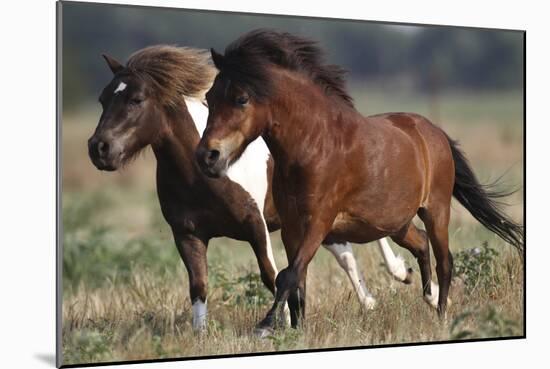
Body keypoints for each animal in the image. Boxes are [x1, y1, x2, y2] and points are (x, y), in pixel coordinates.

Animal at [87, 45, 414, 330]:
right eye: (102, 99)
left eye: (136, 99)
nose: (99, 149)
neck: (199, 177)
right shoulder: (187, 234)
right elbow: (198, 286)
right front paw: (201, 334)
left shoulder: (255, 224)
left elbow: (271, 274)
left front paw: (279, 323)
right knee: (345, 254)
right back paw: (370, 302)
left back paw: (400, 274)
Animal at [196, 30, 524, 332]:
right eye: (209, 98)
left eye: (241, 99)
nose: (207, 156)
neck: (315, 145)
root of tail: (435, 132)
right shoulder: (291, 227)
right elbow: (296, 279)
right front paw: (295, 331)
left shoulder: (319, 222)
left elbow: (288, 275)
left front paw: (265, 326)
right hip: (396, 223)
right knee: (421, 244)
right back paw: (426, 295)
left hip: (436, 210)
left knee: (445, 261)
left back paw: (442, 316)